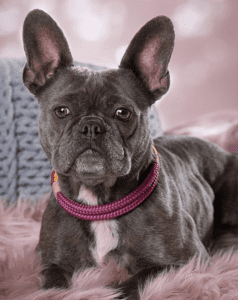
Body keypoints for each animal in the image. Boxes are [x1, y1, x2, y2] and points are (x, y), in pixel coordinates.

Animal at [21, 9, 238, 300]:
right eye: (61, 111)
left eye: (123, 113)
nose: (91, 126)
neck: (99, 205)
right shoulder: (50, 261)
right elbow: (52, 286)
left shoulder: (184, 261)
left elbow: (132, 281)